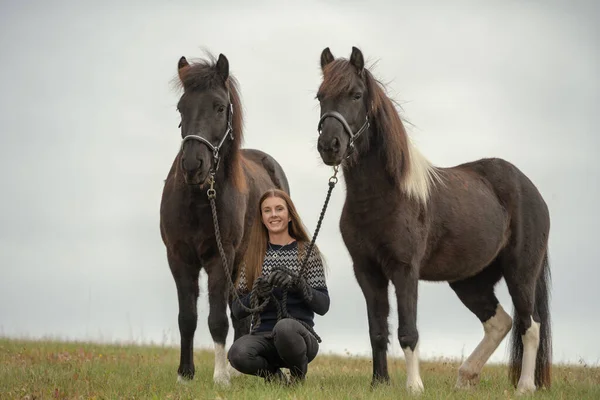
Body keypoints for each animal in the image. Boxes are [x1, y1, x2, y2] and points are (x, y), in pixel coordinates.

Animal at [159, 52, 290, 384]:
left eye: (219, 107)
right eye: (181, 107)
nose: (193, 165)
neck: (199, 199)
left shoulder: (221, 257)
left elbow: (217, 318)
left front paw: (221, 377)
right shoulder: (178, 258)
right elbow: (187, 318)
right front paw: (185, 374)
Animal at [316, 47, 552, 396]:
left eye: (356, 95)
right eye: (320, 97)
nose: (329, 146)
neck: (386, 196)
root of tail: (532, 190)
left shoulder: (405, 270)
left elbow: (408, 330)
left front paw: (414, 387)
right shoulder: (367, 271)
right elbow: (377, 331)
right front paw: (379, 383)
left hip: (521, 273)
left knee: (529, 324)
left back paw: (524, 387)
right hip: (470, 280)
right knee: (500, 322)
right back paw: (465, 377)